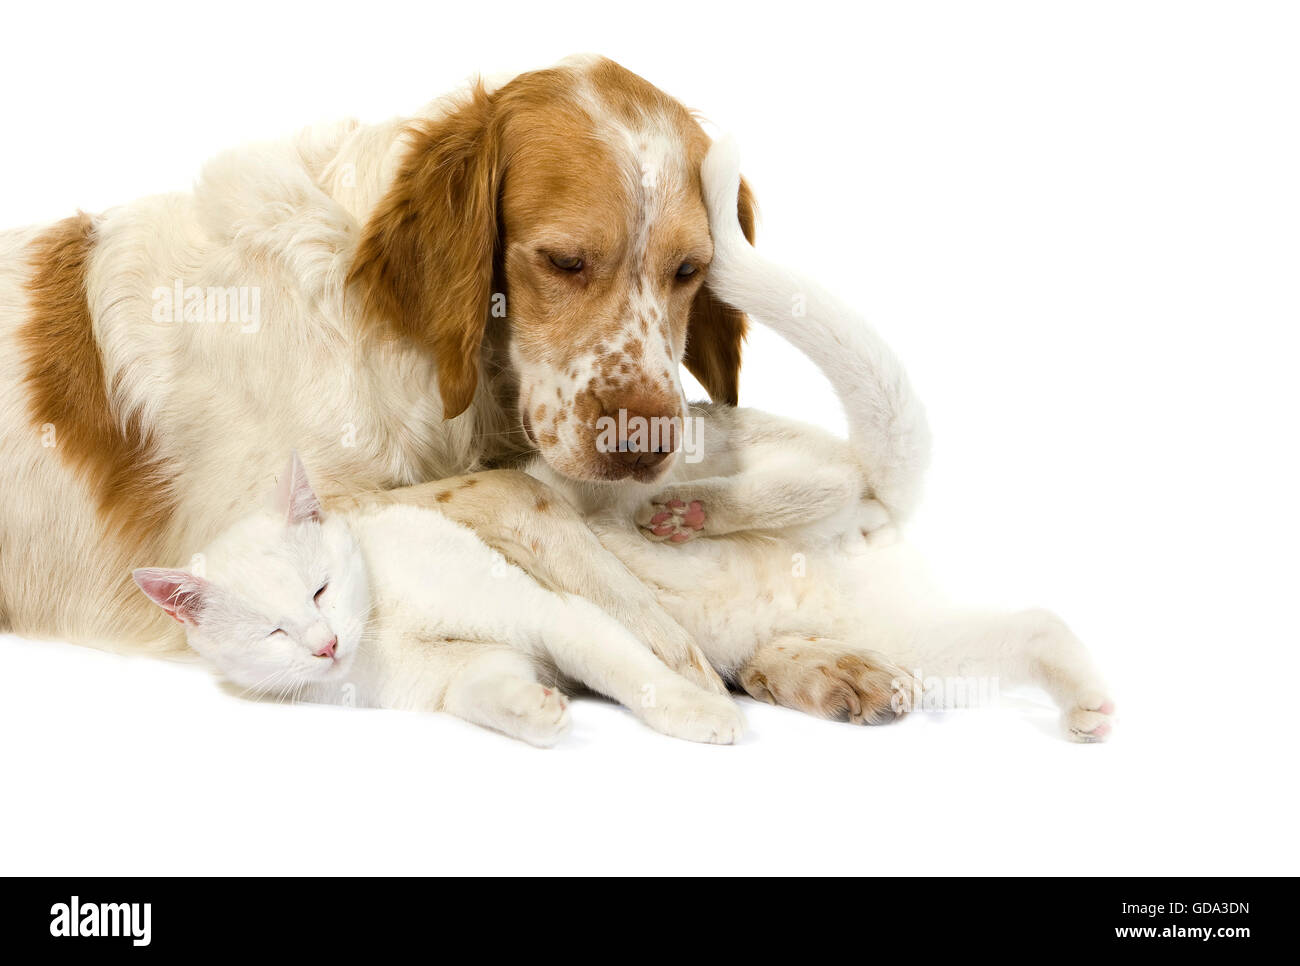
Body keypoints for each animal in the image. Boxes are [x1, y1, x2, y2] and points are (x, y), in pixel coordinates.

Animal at [0, 54, 754, 686]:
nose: (644, 446)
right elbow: (516, 493)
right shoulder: (233, 525)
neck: (381, 323)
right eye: (564, 260)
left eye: (689, 270)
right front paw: (651, 628)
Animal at [133, 452, 748, 748]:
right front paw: (537, 712)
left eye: (320, 589)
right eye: (273, 632)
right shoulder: (470, 671)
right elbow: (484, 694)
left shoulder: (552, 614)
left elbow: (636, 673)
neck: (382, 630)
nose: (326, 645)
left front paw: (704, 713)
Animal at [527, 137, 1118, 738]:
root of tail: (873, 516)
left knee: (825, 479)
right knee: (1035, 624)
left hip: (714, 454)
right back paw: (1090, 705)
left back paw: (682, 513)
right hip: (920, 640)